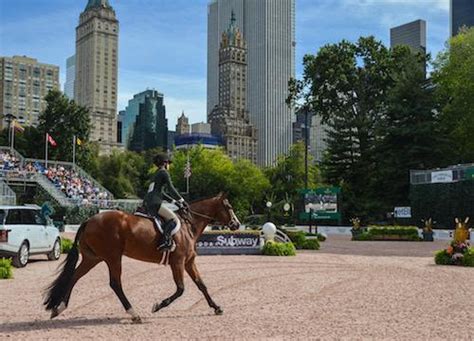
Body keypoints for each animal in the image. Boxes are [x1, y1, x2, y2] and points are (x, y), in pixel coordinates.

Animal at [44, 193, 241, 322]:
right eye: (229, 207)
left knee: (75, 276)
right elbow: (180, 289)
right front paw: (158, 306)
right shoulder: (177, 262)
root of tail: (89, 220)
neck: (188, 224)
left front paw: (216, 307)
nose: (236, 224)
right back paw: (134, 314)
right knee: (115, 283)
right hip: (113, 257)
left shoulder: (188, 262)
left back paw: (59, 308)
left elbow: (202, 285)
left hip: (93, 258)